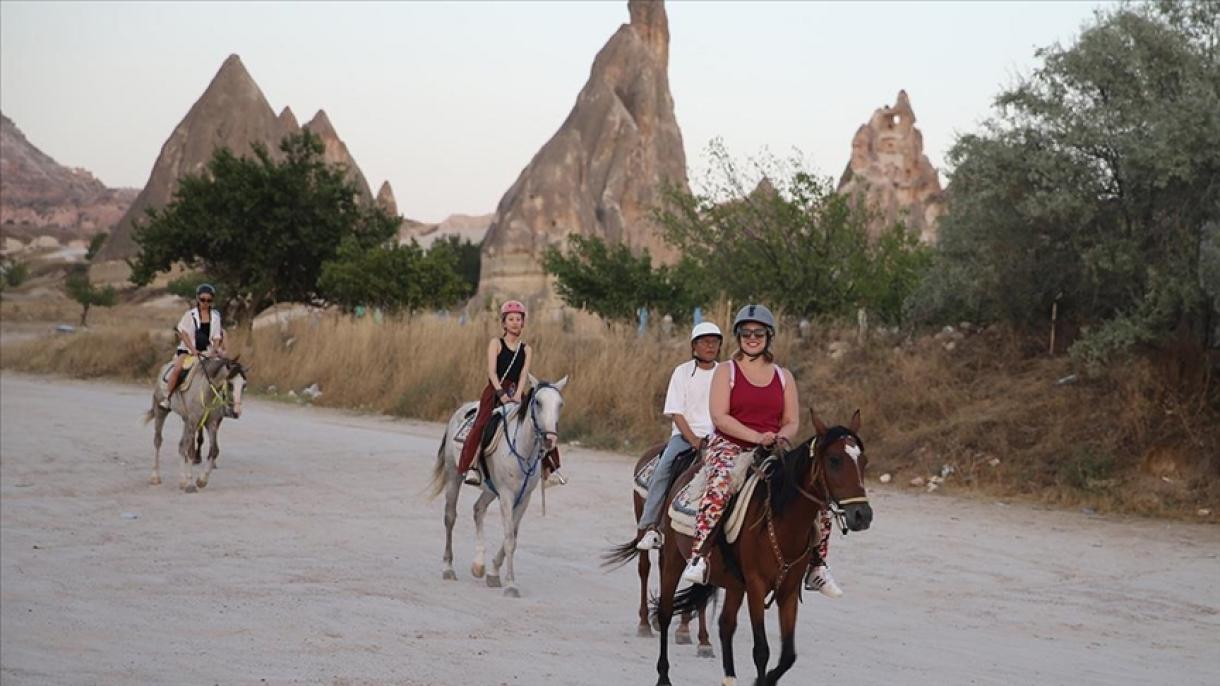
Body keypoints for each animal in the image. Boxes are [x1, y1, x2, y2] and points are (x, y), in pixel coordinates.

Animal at [145, 353, 245, 488]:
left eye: (244, 385)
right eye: (230, 384)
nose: (236, 412)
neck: (207, 389)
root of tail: (164, 367)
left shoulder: (211, 423)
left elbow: (214, 450)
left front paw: (202, 480)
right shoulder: (193, 421)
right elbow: (191, 451)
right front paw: (188, 482)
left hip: (186, 420)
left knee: (182, 445)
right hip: (160, 410)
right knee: (158, 441)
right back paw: (155, 476)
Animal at [429, 371, 570, 595]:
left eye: (560, 404)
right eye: (538, 402)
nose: (550, 440)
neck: (523, 449)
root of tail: (461, 410)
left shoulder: (524, 498)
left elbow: (512, 535)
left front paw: (493, 573)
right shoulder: (506, 495)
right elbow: (510, 539)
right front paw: (511, 585)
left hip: (490, 489)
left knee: (478, 509)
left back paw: (478, 565)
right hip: (454, 475)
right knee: (450, 516)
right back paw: (448, 568)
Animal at [653, 410, 873, 683]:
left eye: (863, 461)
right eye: (834, 460)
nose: (863, 515)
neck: (781, 520)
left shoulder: (788, 591)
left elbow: (788, 655)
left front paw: (766, 679)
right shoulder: (756, 586)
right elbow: (761, 650)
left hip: (734, 583)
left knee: (726, 625)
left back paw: (729, 678)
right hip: (673, 559)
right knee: (664, 612)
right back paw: (664, 675)